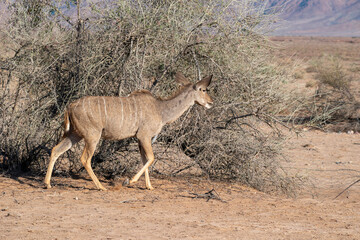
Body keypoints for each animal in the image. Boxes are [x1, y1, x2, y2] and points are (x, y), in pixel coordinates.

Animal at [43, 72, 212, 190]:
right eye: (203, 90)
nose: (211, 102)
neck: (160, 109)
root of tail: (70, 107)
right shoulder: (144, 135)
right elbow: (151, 158)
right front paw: (129, 181)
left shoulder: (140, 138)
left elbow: (145, 159)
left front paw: (149, 186)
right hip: (92, 136)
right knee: (85, 158)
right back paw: (100, 187)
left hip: (74, 135)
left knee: (56, 150)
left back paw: (47, 183)